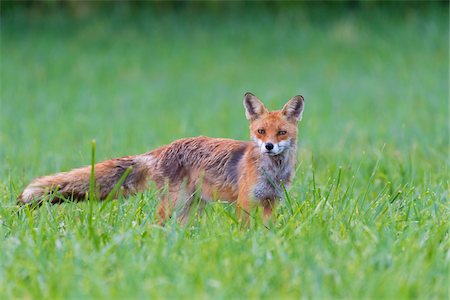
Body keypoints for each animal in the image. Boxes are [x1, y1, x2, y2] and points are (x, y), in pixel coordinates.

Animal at [18, 94, 306, 223]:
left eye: (281, 132)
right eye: (261, 131)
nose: (269, 146)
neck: (272, 173)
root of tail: (162, 149)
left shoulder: (270, 203)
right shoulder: (245, 202)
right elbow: (245, 230)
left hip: (191, 205)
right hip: (176, 202)